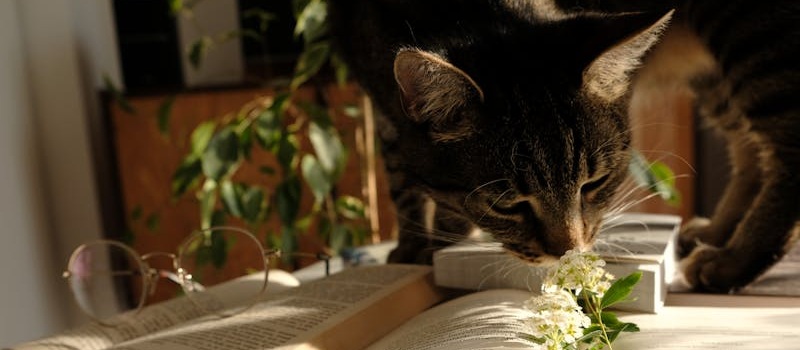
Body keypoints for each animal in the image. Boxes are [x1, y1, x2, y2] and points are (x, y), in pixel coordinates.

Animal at [324, 0, 800, 292]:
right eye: (507, 205)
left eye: (595, 184)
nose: (567, 251)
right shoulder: (376, 94)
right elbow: (399, 176)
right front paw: (412, 245)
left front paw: (440, 239)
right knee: (751, 149)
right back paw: (717, 232)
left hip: (752, 35)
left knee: (784, 148)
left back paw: (733, 259)